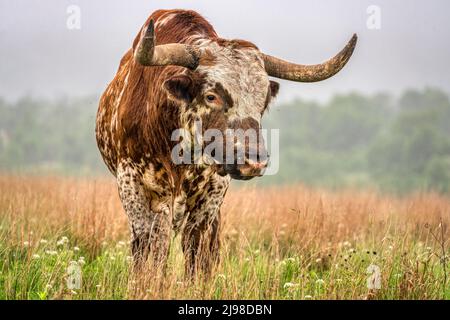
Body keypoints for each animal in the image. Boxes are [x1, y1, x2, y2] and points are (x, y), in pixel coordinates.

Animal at [96, 8, 356, 276]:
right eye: (211, 96)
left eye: (263, 100)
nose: (252, 161)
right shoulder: (135, 187)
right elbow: (151, 248)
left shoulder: (212, 195)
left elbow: (197, 252)